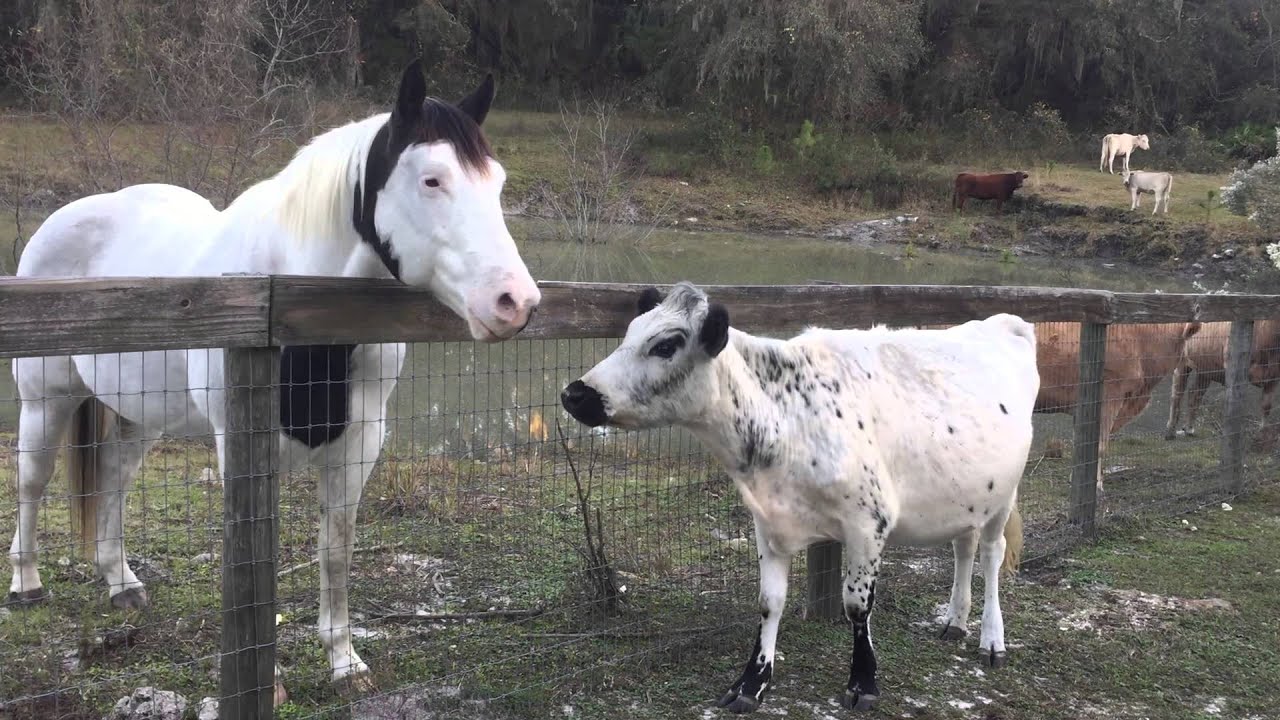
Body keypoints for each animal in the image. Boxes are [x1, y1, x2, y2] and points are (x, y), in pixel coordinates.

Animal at [5, 60, 541, 696]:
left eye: (498, 183)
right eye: (432, 180)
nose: (516, 302)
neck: (292, 307)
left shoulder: (358, 444)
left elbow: (336, 550)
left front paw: (344, 663)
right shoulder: (242, 448)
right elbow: (253, 559)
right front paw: (272, 677)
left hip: (140, 412)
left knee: (114, 476)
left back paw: (122, 583)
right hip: (46, 397)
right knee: (33, 481)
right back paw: (27, 584)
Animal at [561, 282, 1039, 714]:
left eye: (665, 345)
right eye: (629, 332)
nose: (574, 393)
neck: (785, 422)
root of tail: (1002, 321)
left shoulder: (869, 522)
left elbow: (857, 605)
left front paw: (863, 683)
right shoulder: (768, 522)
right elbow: (769, 602)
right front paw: (752, 682)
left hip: (1005, 493)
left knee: (991, 555)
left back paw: (991, 639)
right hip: (968, 495)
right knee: (964, 547)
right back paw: (955, 621)